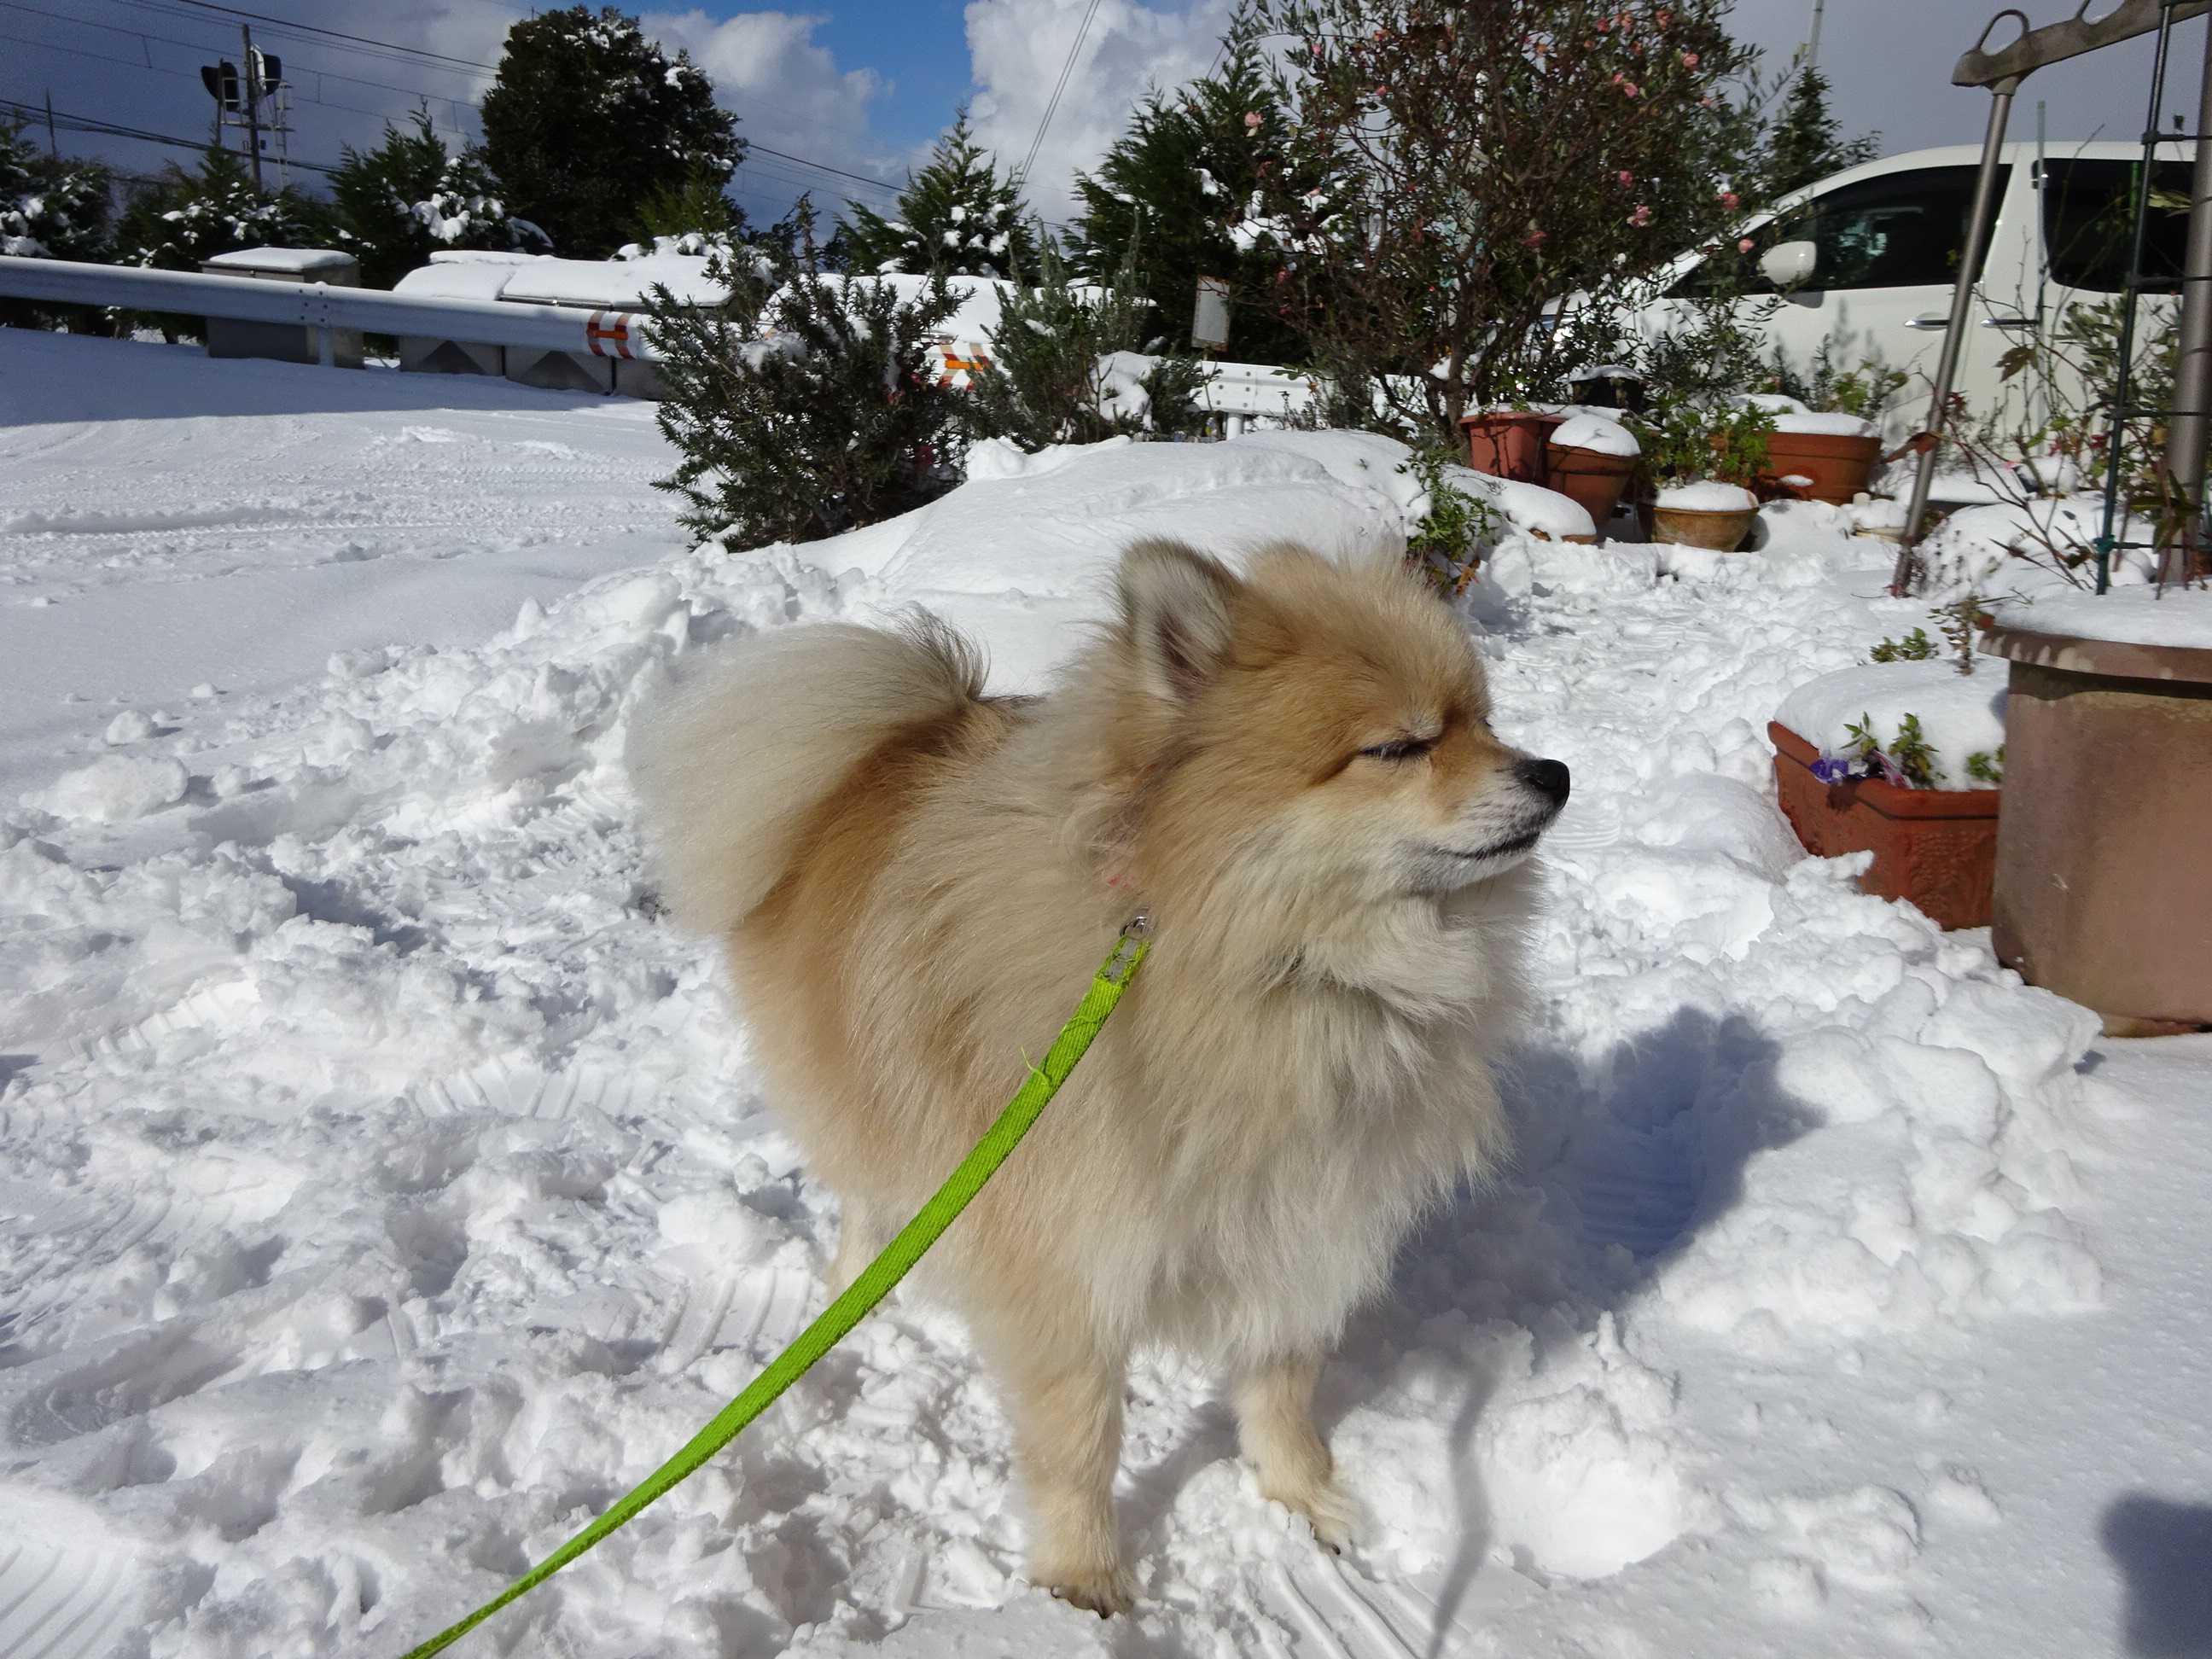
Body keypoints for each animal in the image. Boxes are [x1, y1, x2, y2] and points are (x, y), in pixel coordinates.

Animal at [628, 539, 1575, 1619]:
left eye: (1483, 719)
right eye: (1402, 747)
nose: (1553, 774)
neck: (1282, 973)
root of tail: (887, 745)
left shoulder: (1302, 1221)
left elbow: (1281, 1388)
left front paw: (1302, 1497)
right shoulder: (1070, 1264)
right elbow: (1082, 1440)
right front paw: (1081, 1582)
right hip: (866, 1111)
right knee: (866, 1208)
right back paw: (859, 1303)